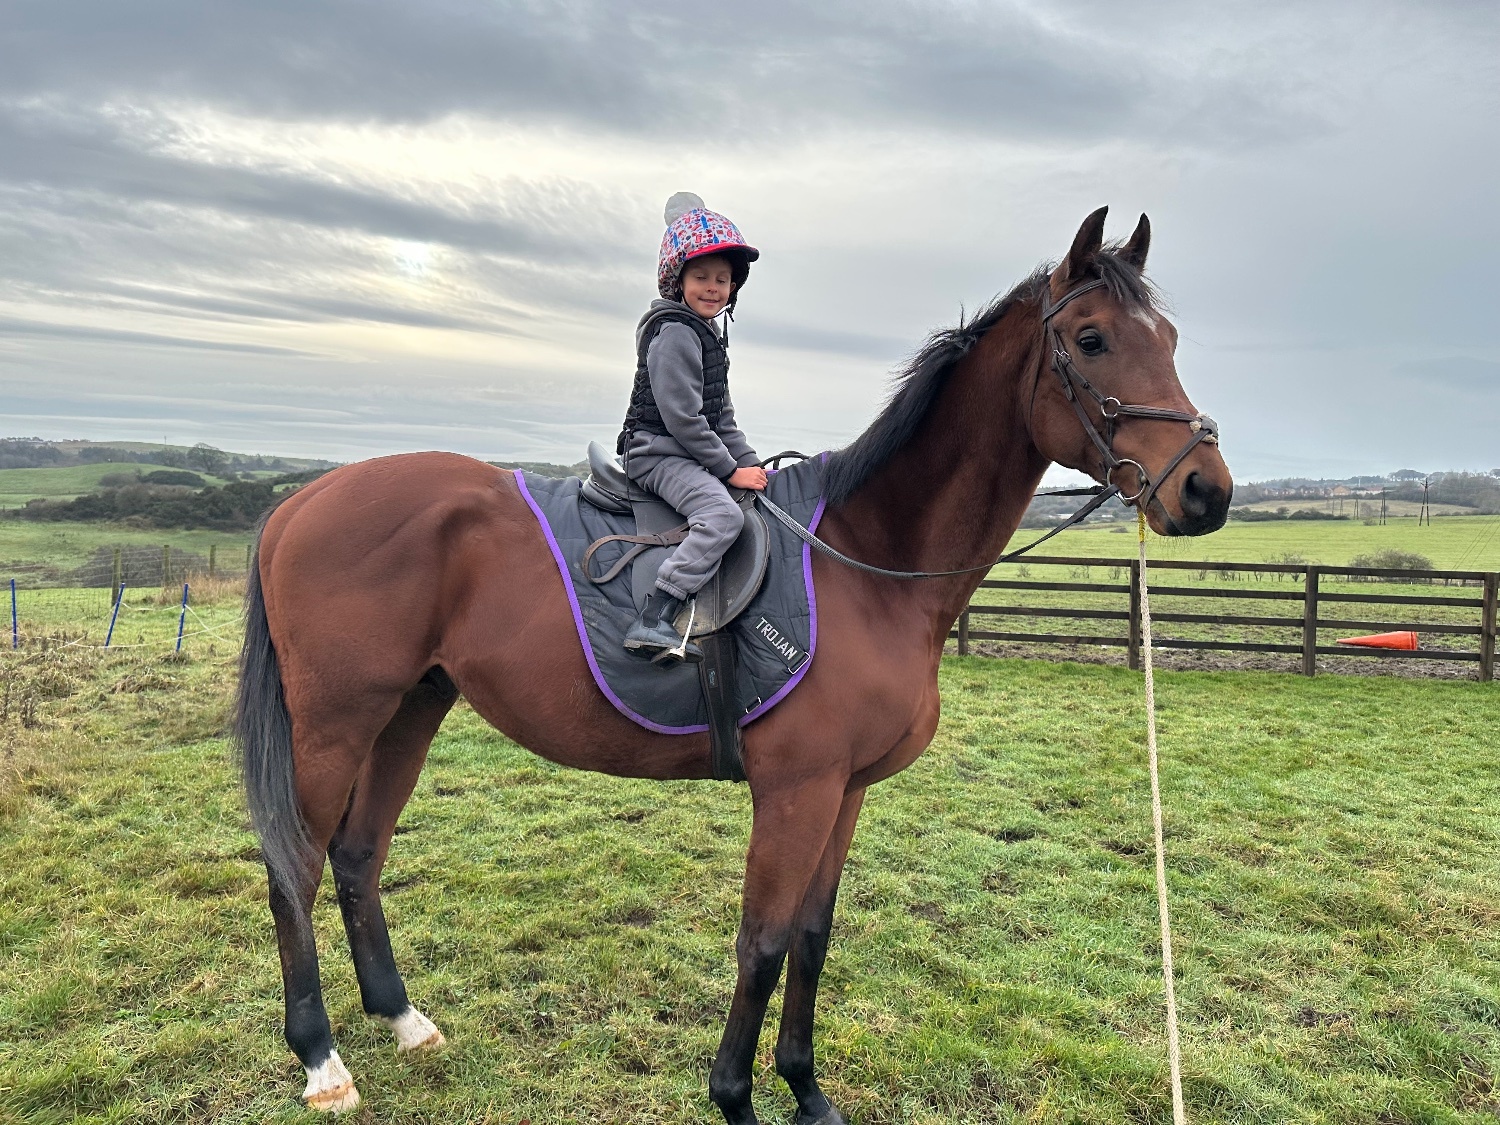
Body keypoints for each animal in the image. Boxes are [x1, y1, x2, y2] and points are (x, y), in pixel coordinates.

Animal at [236, 207, 1233, 1123]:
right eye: (1092, 338)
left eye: (1171, 340)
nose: (1207, 491)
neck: (863, 558)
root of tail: (297, 503)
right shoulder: (795, 789)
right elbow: (761, 942)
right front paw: (738, 1097)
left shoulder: (846, 789)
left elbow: (813, 936)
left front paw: (807, 1090)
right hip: (335, 724)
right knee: (296, 868)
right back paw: (321, 1058)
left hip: (412, 706)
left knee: (359, 854)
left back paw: (403, 1019)